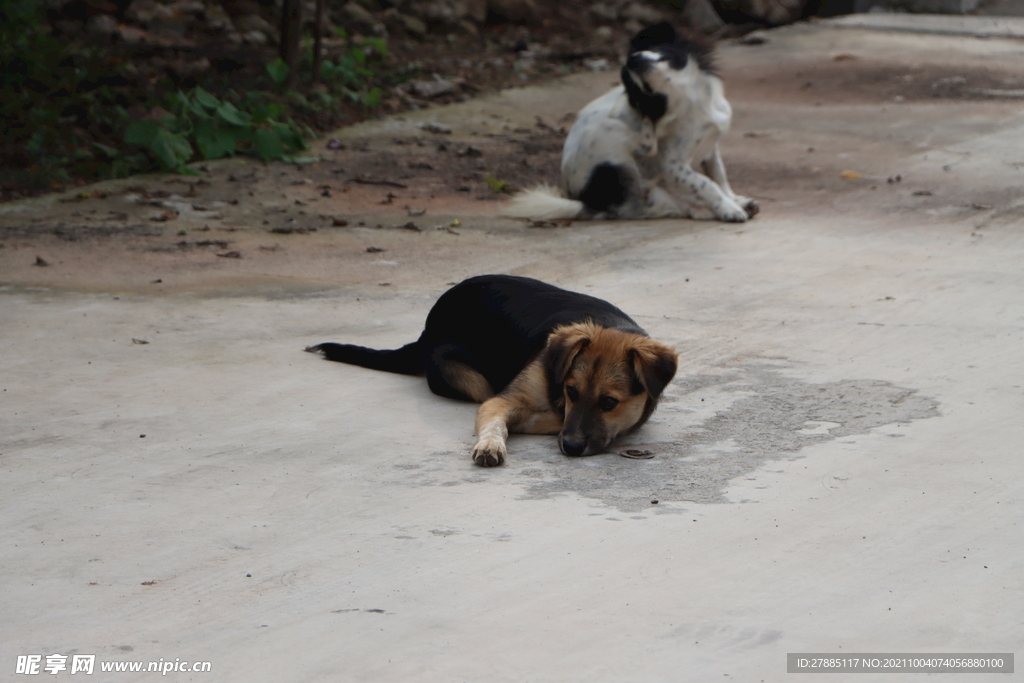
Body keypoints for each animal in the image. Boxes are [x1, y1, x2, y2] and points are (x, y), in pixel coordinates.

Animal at [303, 274, 675, 466]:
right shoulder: (501, 400)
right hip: (468, 378)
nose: (570, 447)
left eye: (609, 403)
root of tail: (424, 330)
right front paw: (492, 443)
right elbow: (502, 420)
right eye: (571, 390)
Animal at [505, 22, 761, 222]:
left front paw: (733, 199)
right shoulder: (673, 167)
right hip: (615, 135)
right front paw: (728, 208)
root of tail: (586, 201)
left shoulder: (710, 146)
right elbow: (707, 184)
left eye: (654, 49)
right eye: (635, 83)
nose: (632, 59)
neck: (690, 99)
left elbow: (719, 175)